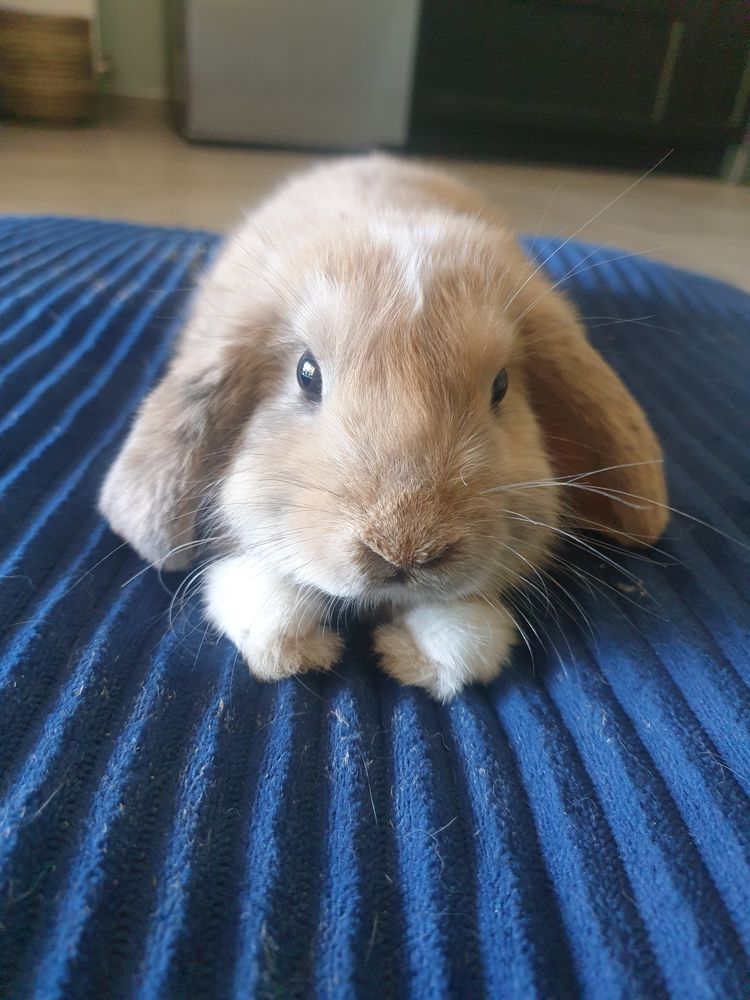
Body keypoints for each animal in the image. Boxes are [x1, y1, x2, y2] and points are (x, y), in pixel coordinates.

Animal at [99, 155, 668, 701]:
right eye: (306, 373)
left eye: (501, 385)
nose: (404, 551)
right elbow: (261, 597)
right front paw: (302, 649)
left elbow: (466, 636)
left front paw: (410, 656)